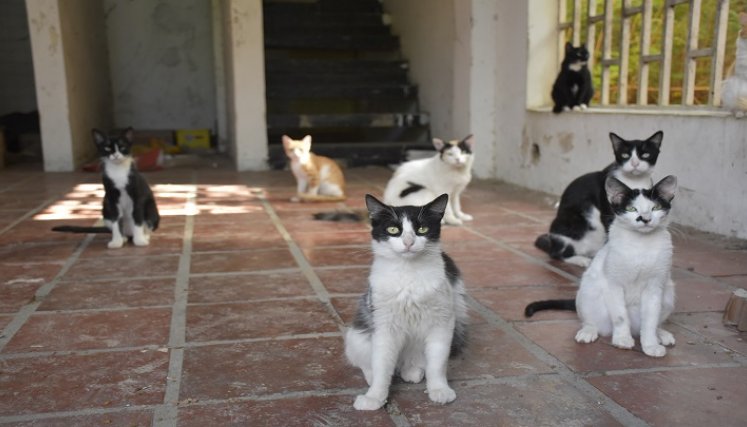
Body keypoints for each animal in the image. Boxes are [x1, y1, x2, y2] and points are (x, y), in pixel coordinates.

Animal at [344, 194, 468, 412]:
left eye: (422, 229)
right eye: (393, 230)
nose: (409, 242)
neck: (408, 274)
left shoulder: (442, 322)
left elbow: (437, 363)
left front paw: (439, 389)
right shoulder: (384, 326)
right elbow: (382, 366)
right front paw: (375, 397)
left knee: (414, 363)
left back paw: (412, 371)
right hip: (357, 337)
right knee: (367, 363)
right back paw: (373, 376)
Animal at [524, 174, 676, 358]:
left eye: (656, 207)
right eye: (631, 208)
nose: (645, 219)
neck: (640, 245)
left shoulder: (655, 287)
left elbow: (650, 321)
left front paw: (651, 345)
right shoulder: (613, 284)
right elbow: (620, 316)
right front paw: (622, 340)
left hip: (668, 294)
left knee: (653, 323)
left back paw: (661, 334)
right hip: (587, 292)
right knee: (590, 320)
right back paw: (588, 331)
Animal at [536, 130, 664, 268]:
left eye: (645, 155)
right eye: (625, 155)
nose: (635, 164)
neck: (635, 181)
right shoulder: (608, 212)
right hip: (571, 223)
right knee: (557, 253)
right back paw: (581, 260)